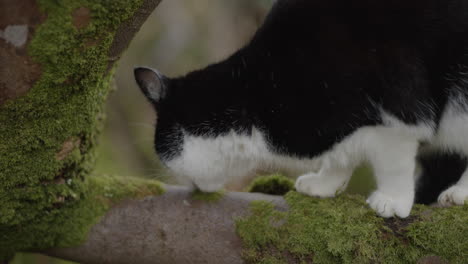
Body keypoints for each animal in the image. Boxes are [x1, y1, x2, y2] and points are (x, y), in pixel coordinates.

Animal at [133, 0, 468, 219]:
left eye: (165, 153)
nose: (188, 184)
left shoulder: (399, 114)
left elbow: (393, 164)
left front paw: (393, 200)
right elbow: (341, 154)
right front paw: (325, 183)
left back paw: (459, 193)